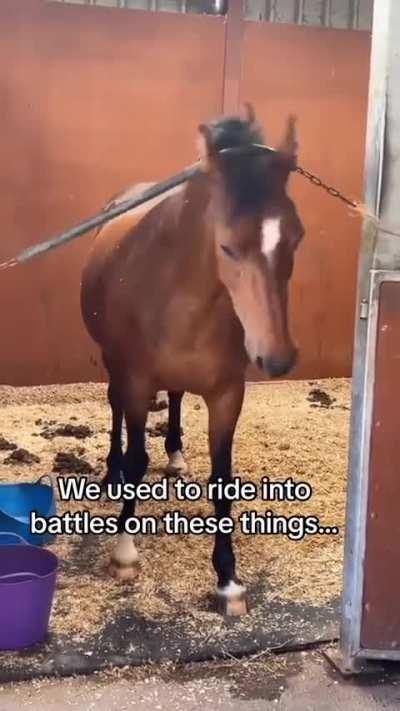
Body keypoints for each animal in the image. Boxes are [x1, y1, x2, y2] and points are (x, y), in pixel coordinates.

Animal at [81, 105, 304, 616]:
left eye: (296, 239)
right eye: (226, 246)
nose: (277, 357)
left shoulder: (227, 394)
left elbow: (223, 479)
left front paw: (228, 580)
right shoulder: (137, 382)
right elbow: (137, 459)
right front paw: (124, 554)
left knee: (178, 396)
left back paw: (177, 457)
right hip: (114, 364)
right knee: (115, 408)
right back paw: (110, 471)